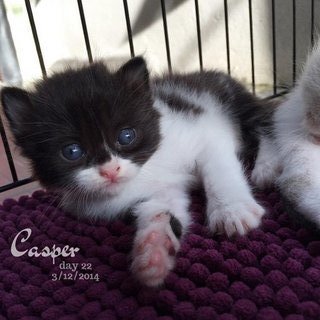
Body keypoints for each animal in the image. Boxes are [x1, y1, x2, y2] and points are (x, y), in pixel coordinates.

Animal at [1, 58, 268, 288]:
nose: (110, 170)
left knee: (266, 127)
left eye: (126, 136)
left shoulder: (204, 133)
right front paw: (154, 252)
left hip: (237, 105)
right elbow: (163, 210)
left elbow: (219, 169)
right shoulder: (160, 192)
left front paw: (231, 212)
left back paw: (265, 169)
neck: (148, 168)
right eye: (72, 151)